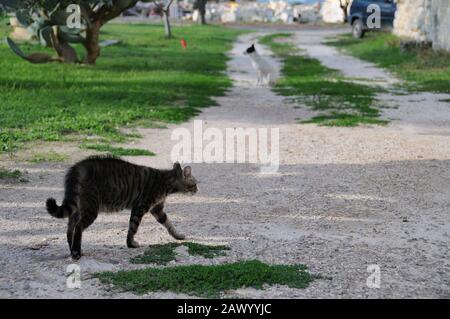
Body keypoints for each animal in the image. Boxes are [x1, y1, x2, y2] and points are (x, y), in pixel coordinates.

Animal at [45, 156, 197, 262]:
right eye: (195, 184)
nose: (197, 189)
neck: (165, 182)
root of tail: (76, 168)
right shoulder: (140, 207)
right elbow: (133, 227)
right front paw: (131, 243)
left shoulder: (157, 210)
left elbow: (169, 224)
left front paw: (177, 235)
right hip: (91, 209)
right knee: (78, 227)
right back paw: (76, 252)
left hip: (77, 208)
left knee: (69, 229)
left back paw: (73, 250)